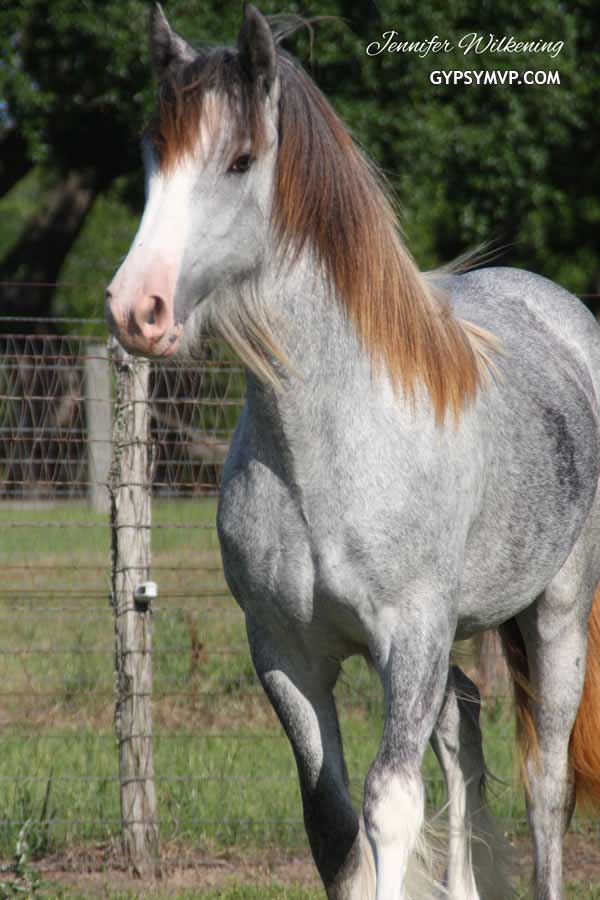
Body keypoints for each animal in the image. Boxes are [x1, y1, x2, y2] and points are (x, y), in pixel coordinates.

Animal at [105, 5, 600, 898]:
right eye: (153, 152)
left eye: (239, 160)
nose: (137, 307)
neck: (328, 448)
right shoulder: (286, 655)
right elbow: (334, 826)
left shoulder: (410, 636)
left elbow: (391, 807)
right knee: (462, 724)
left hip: (556, 615)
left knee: (546, 788)